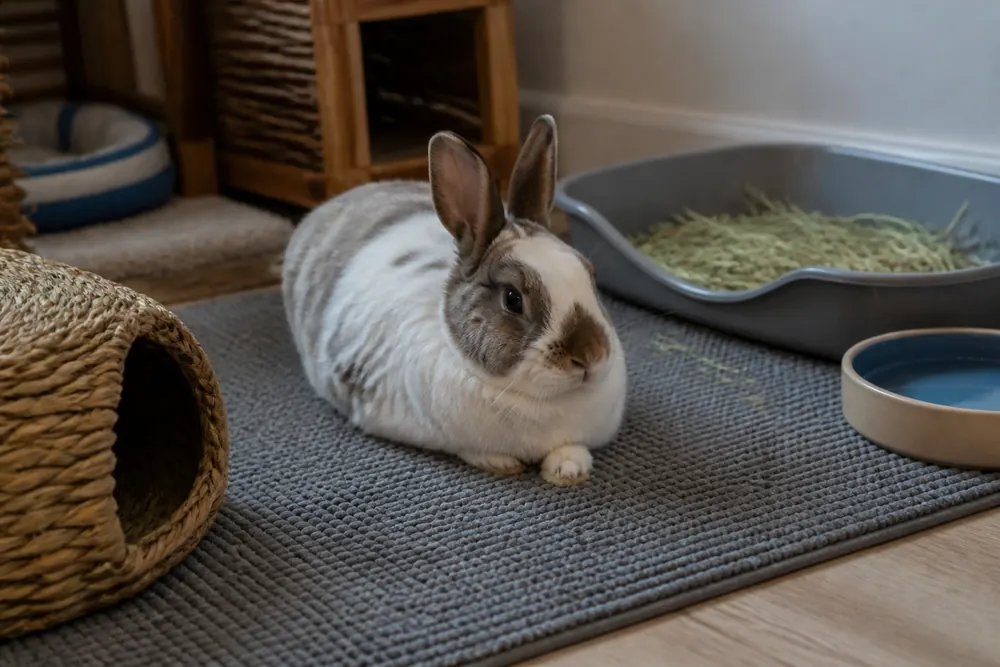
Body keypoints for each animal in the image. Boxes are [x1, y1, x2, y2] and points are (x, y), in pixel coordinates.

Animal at [281, 115, 626, 486]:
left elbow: (571, 448)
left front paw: (568, 470)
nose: (590, 356)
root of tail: (330, 204)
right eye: (512, 299)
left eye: (590, 274)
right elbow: (472, 450)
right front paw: (501, 463)